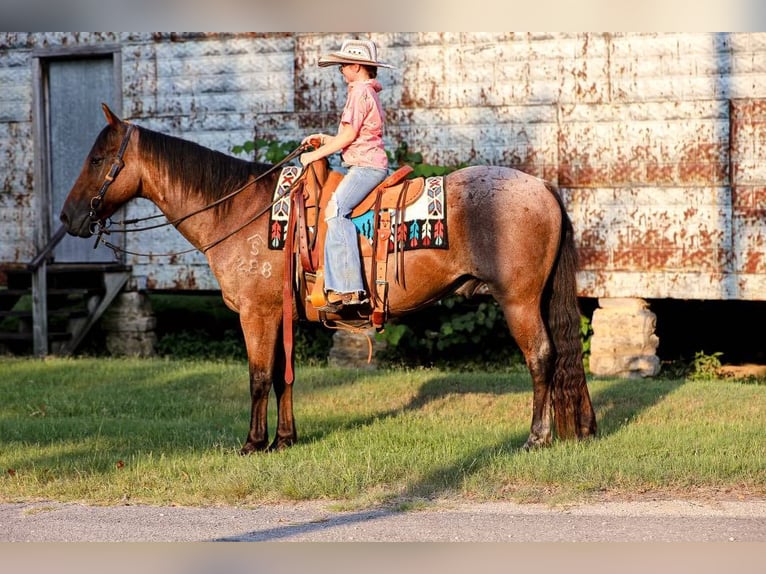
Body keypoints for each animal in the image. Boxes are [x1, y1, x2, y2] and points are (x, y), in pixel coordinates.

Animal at [60, 104, 596, 453]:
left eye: (96, 160)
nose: (68, 218)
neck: (245, 212)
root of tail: (543, 186)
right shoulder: (280, 315)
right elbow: (283, 376)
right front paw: (284, 439)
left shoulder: (256, 314)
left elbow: (259, 377)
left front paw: (253, 443)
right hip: (539, 299)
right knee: (562, 355)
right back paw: (581, 429)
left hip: (519, 301)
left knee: (541, 358)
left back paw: (536, 438)